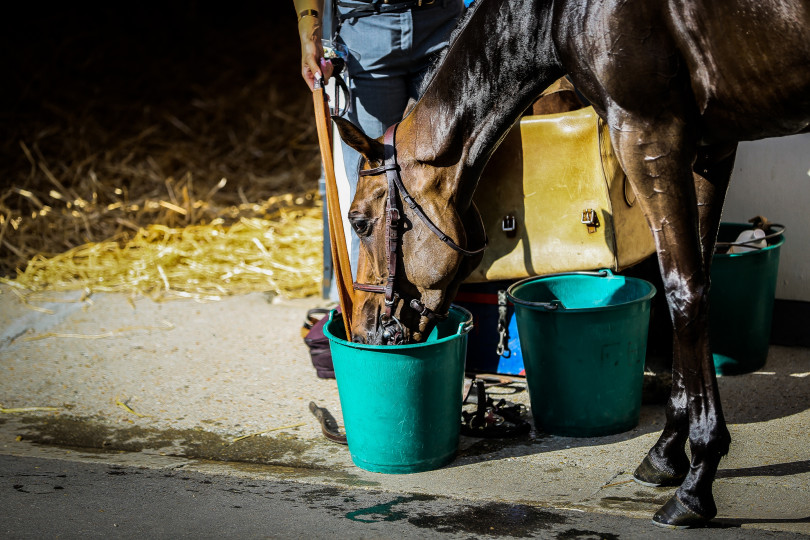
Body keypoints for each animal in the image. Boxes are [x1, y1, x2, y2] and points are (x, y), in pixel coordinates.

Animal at [330, 0, 808, 528]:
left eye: (359, 221)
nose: (361, 332)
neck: (560, 14)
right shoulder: (709, 146)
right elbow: (696, 284)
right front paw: (667, 453)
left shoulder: (649, 135)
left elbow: (685, 294)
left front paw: (696, 484)